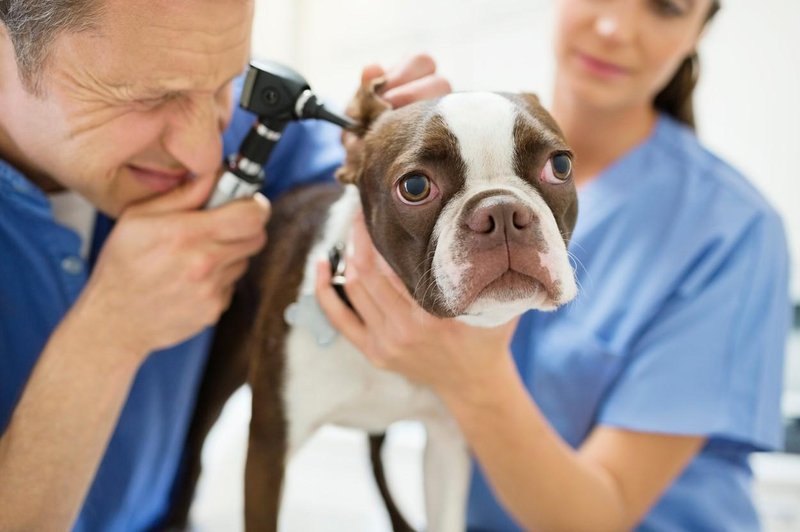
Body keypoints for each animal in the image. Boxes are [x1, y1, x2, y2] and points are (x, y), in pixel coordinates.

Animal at [169, 80, 580, 532]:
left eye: (560, 165)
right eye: (415, 187)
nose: (501, 211)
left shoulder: (447, 443)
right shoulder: (268, 448)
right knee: (193, 452)